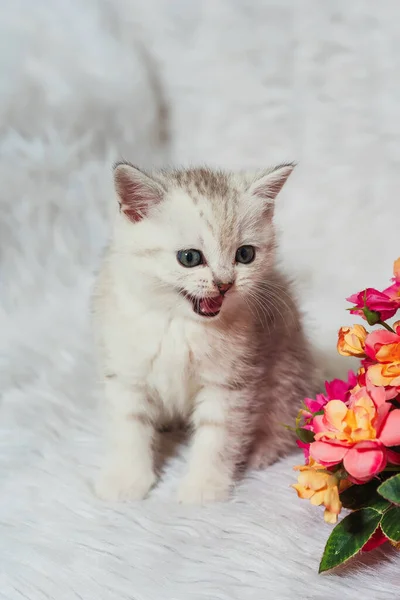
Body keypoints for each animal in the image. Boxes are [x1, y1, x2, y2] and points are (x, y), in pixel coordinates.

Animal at [92, 162, 318, 504]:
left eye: (245, 255)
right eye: (190, 258)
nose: (225, 284)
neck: (180, 324)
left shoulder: (229, 383)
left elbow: (217, 437)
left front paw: (204, 488)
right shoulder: (127, 373)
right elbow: (129, 427)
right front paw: (127, 480)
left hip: (288, 368)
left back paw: (260, 452)